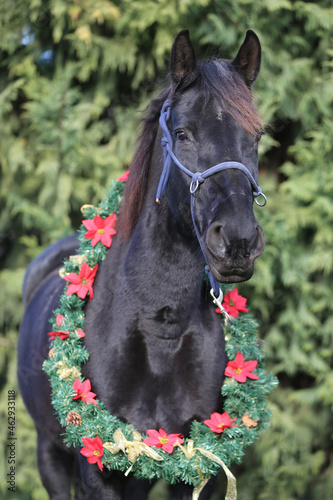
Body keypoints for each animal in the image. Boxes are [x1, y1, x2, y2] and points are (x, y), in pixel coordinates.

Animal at [18, 29, 264, 498]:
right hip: (49, 452)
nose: (239, 241)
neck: (158, 330)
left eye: (257, 136)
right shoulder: (96, 468)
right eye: (183, 134)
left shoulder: (199, 463)